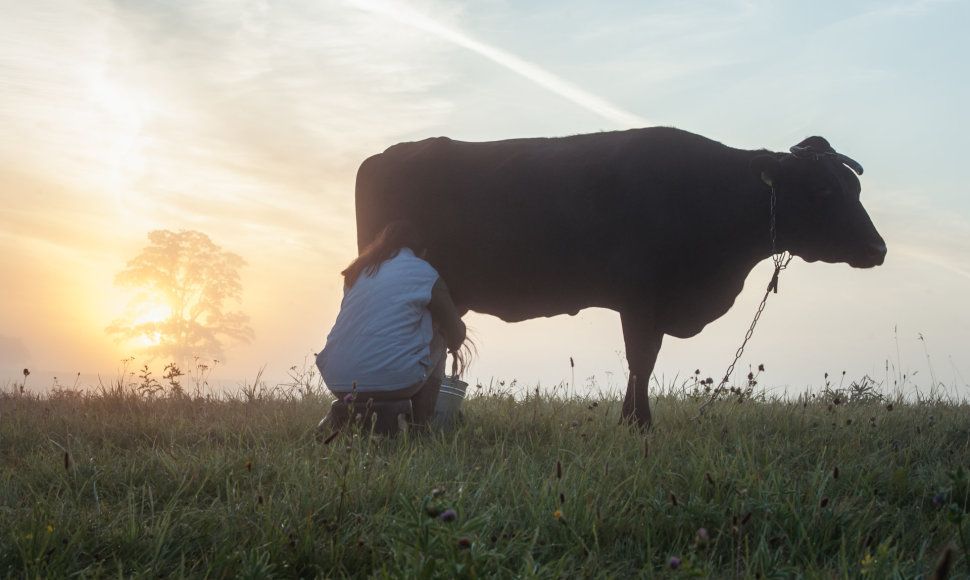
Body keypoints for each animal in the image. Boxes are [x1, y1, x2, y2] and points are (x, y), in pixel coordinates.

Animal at [356, 125, 884, 426]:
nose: (878, 249)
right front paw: (638, 423)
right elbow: (642, 360)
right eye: (823, 191)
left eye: (853, 187)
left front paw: (633, 420)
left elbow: (643, 362)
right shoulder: (640, 296)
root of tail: (385, 154)